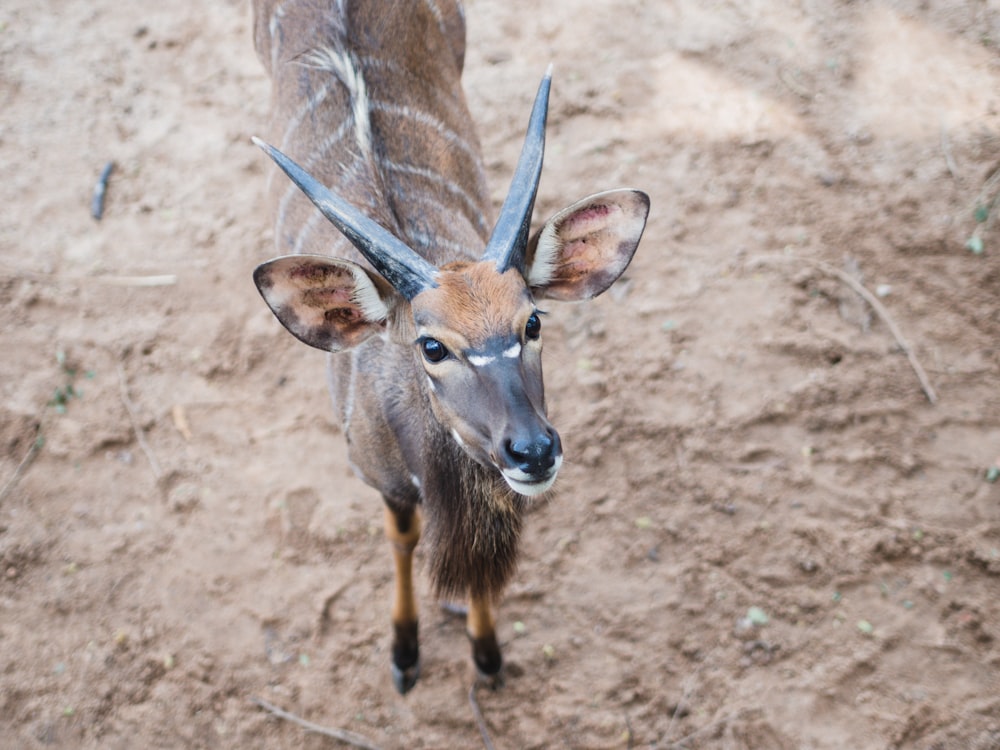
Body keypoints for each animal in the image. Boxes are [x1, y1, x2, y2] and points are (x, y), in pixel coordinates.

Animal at [252, 0, 648, 692]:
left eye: (533, 321)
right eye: (432, 346)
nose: (533, 451)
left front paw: (486, 653)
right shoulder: (385, 483)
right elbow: (402, 540)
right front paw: (404, 651)